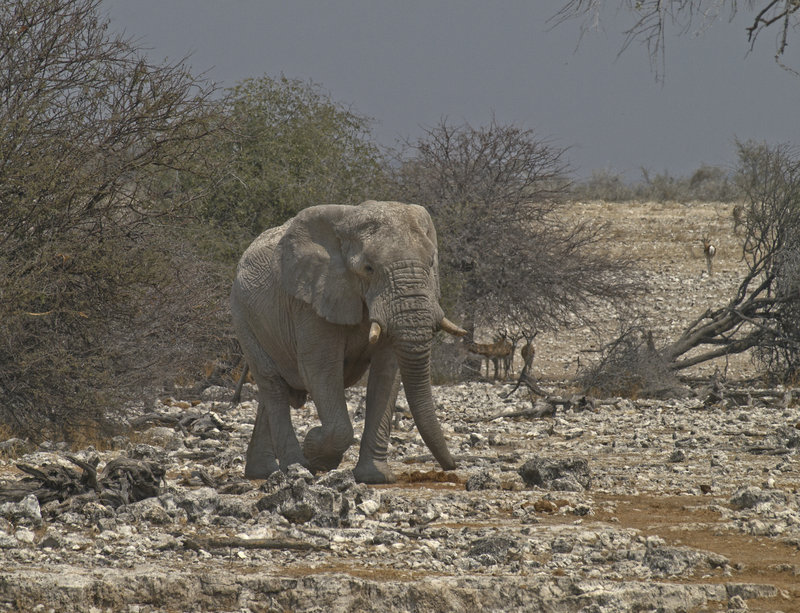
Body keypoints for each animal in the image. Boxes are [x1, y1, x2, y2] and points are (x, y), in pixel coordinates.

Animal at [230, 200, 467, 484]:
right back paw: (296, 468)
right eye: (369, 268)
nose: (453, 466)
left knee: (273, 391)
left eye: (431, 263)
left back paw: (264, 471)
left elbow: (387, 373)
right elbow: (320, 368)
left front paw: (375, 477)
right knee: (272, 384)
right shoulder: (311, 300)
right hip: (243, 317)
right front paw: (315, 449)